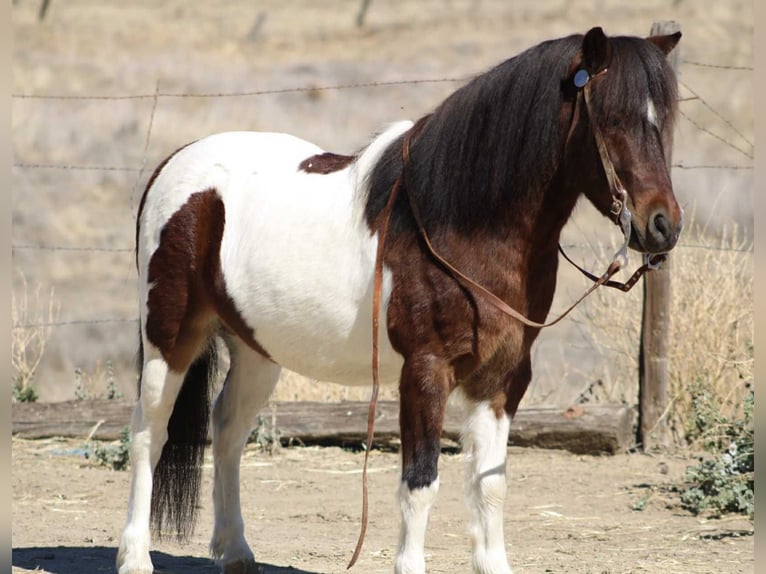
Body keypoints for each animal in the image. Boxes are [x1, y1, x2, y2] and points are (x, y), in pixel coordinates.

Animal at [117, 26, 682, 574]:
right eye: (613, 118)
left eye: (667, 121)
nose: (663, 226)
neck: (459, 225)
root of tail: (173, 165)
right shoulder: (425, 373)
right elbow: (420, 483)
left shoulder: (502, 379)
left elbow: (490, 484)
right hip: (169, 337)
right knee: (149, 433)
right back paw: (135, 557)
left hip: (256, 350)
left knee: (228, 429)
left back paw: (235, 552)